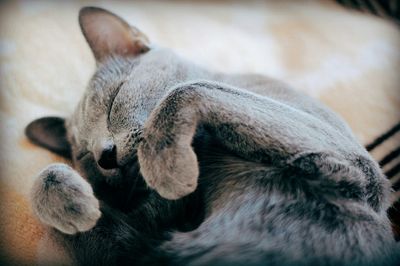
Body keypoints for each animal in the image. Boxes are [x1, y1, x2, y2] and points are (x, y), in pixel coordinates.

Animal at [26, 6, 398, 266]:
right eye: (83, 156)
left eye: (114, 100)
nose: (105, 154)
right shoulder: (141, 245)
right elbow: (49, 177)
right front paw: (72, 206)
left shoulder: (348, 164)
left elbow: (188, 88)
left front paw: (168, 168)